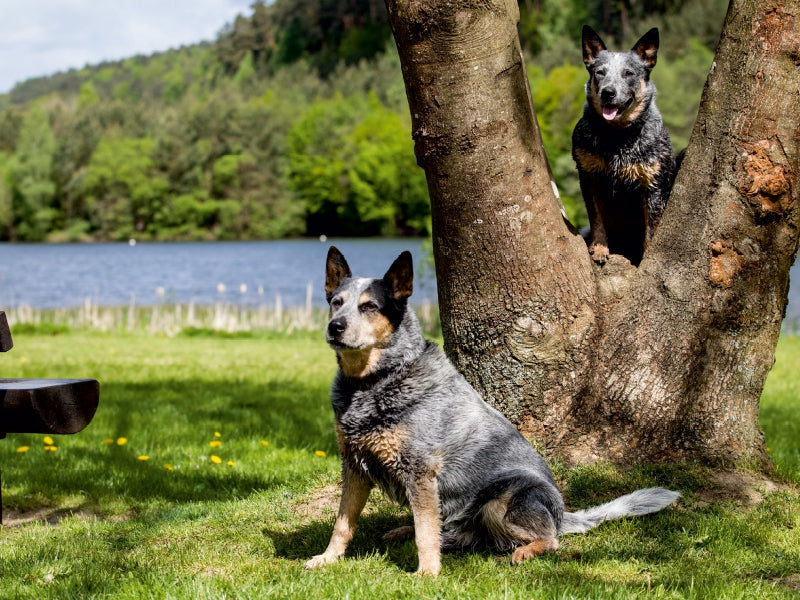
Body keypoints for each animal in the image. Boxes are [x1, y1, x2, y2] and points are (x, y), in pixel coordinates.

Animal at [304, 246, 680, 576]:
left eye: (369, 306)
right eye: (336, 303)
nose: (335, 326)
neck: (374, 382)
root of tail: (563, 513)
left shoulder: (420, 470)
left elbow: (426, 534)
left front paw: (427, 574)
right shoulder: (354, 464)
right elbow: (343, 523)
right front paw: (327, 559)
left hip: (501, 501)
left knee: (549, 539)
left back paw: (526, 550)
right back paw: (404, 531)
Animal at [572, 25, 680, 264]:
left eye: (628, 73)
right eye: (600, 72)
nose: (608, 92)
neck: (617, 137)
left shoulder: (653, 186)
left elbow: (651, 229)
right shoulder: (588, 176)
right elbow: (596, 219)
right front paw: (600, 248)